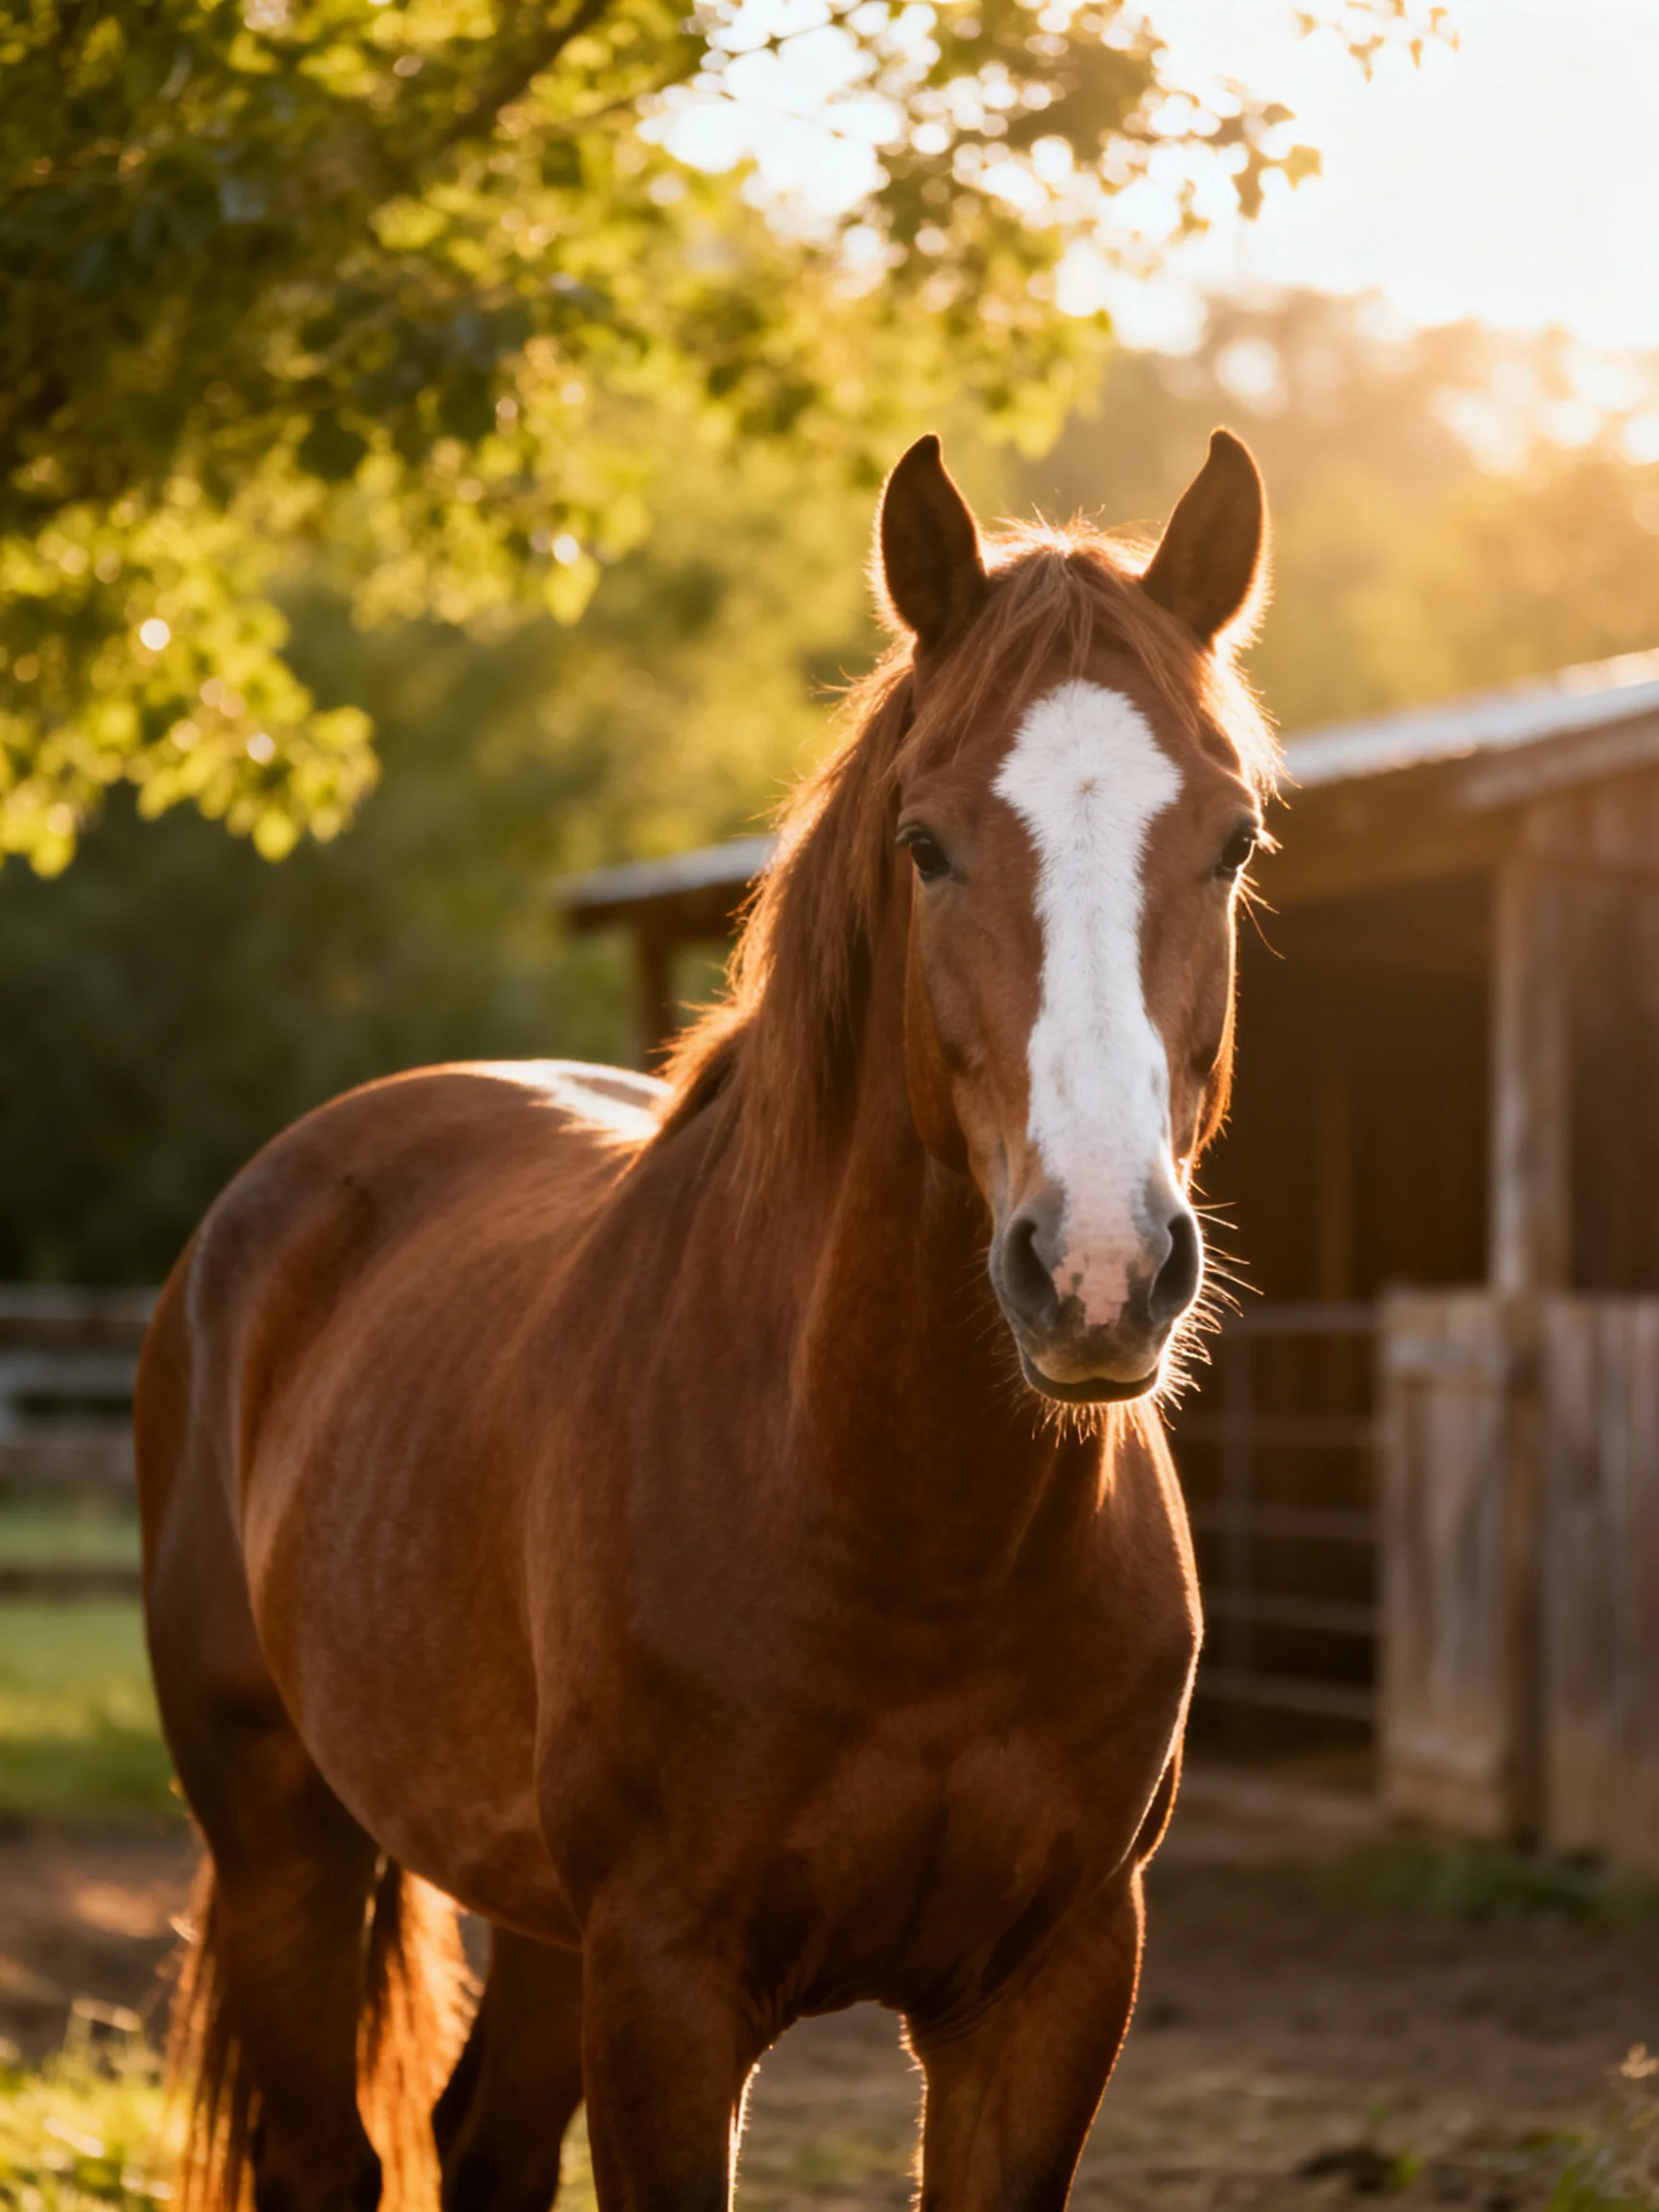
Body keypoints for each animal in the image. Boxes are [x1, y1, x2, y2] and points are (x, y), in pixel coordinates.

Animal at [136, 426, 1273, 2212]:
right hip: (279, 1847)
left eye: (1230, 838)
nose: (1096, 1265)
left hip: (535, 1919)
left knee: (482, 2137)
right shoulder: (669, 1988)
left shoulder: (1053, 1985)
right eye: (924, 841)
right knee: (331, 2152)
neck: (905, 1537)